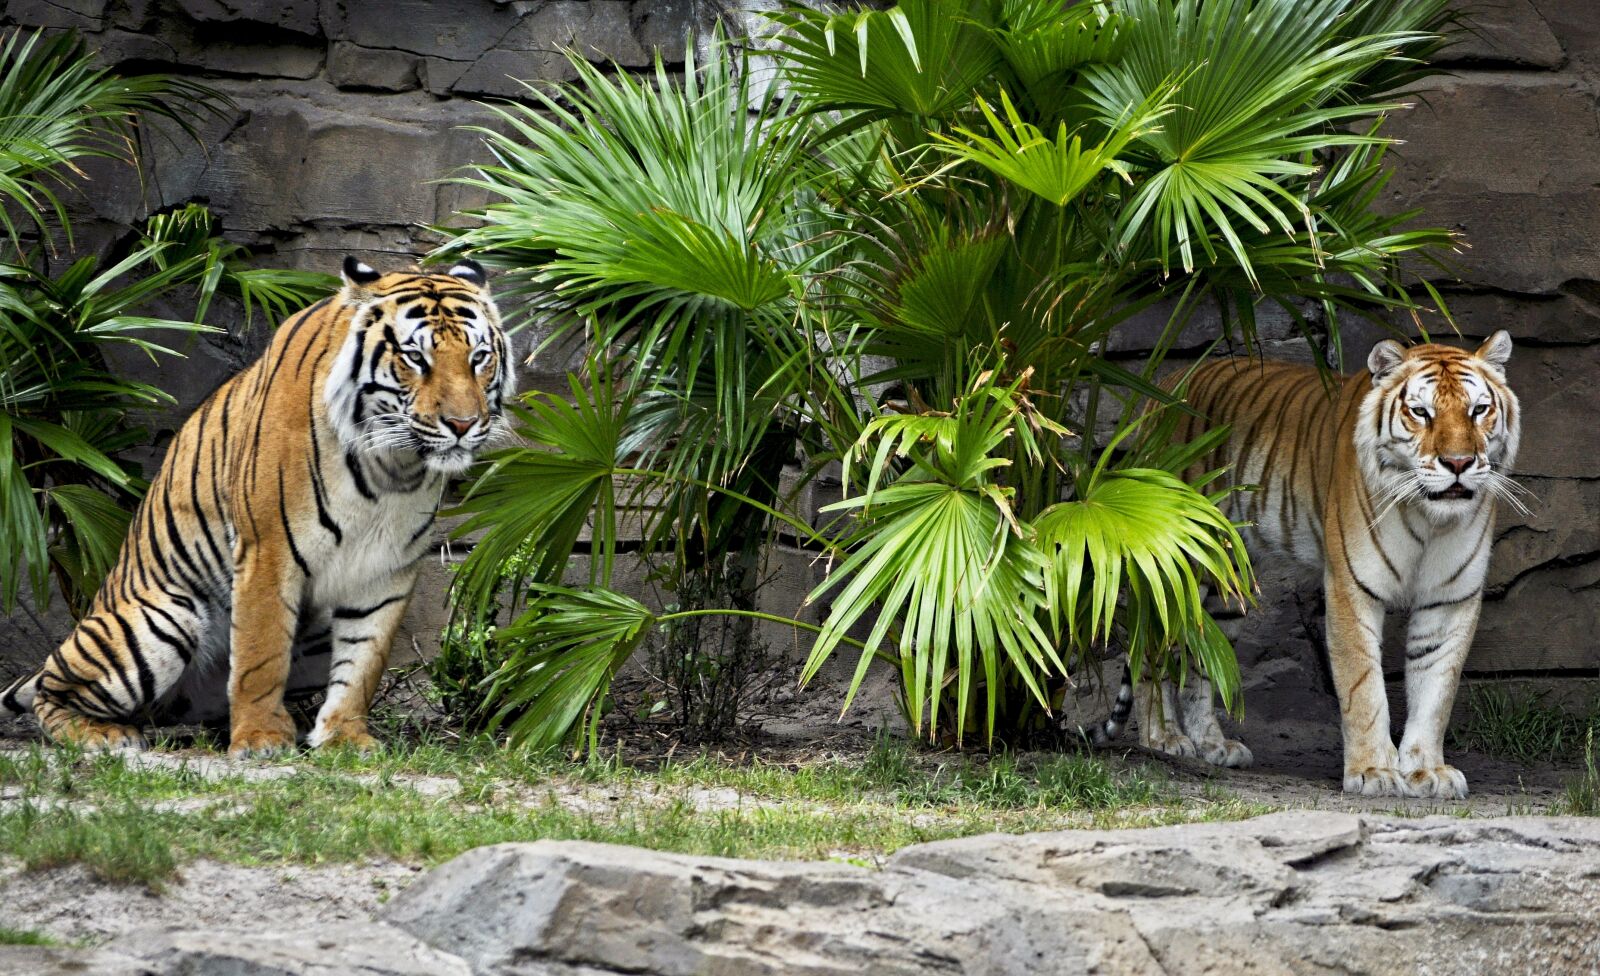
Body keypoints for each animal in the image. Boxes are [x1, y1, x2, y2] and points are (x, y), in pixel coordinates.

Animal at [1, 257, 513, 757]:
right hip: (159, 622)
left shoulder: (386, 569)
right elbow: (260, 655)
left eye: (478, 358)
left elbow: (364, 661)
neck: (391, 466)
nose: (464, 424)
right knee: (51, 692)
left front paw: (343, 737)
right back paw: (103, 735)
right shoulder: (268, 550)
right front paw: (261, 738)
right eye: (415, 358)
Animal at [1092, 332, 1521, 799]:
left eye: (1478, 410)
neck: (1429, 518)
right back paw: (1164, 738)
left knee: (1202, 654)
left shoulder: (1450, 598)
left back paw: (1213, 744)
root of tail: (1167, 386)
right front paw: (1373, 772)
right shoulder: (1352, 587)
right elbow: (1363, 687)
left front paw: (1428, 771)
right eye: (1420, 412)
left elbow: (1435, 688)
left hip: (1226, 580)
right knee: (1149, 647)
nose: (1459, 463)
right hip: (1168, 561)